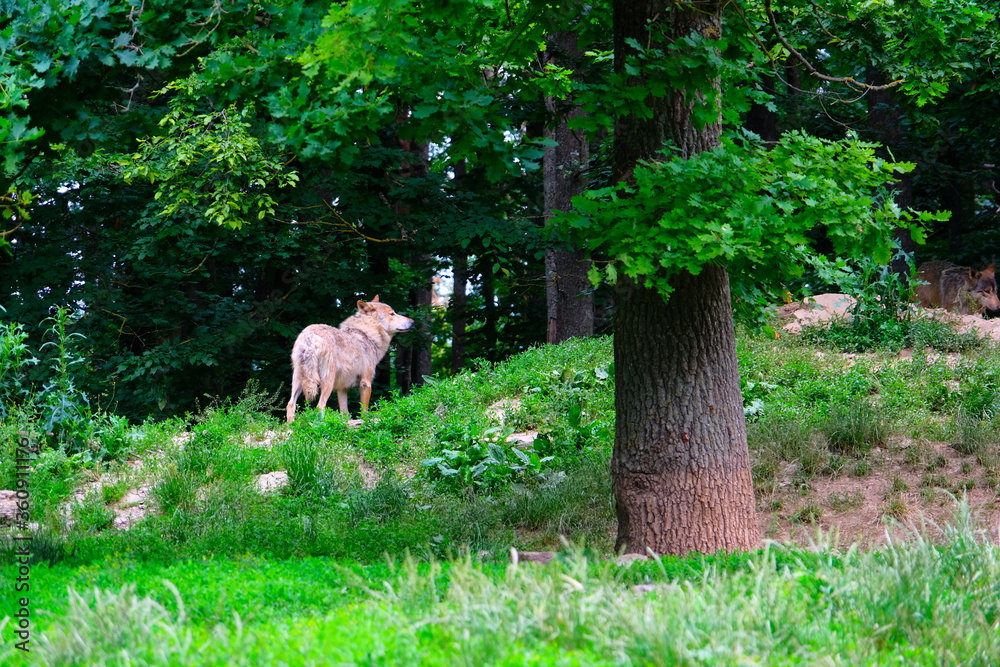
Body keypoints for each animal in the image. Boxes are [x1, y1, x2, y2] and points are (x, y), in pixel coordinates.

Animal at [285, 296, 414, 422]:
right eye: (392, 314)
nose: (412, 321)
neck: (367, 334)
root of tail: (310, 335)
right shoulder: (365, 383)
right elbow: (364, 411)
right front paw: (365, 423)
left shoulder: (342, 388)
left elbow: (345, 414)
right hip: (327, 383)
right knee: (319, 407)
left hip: (299, 380)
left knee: (290, 405)